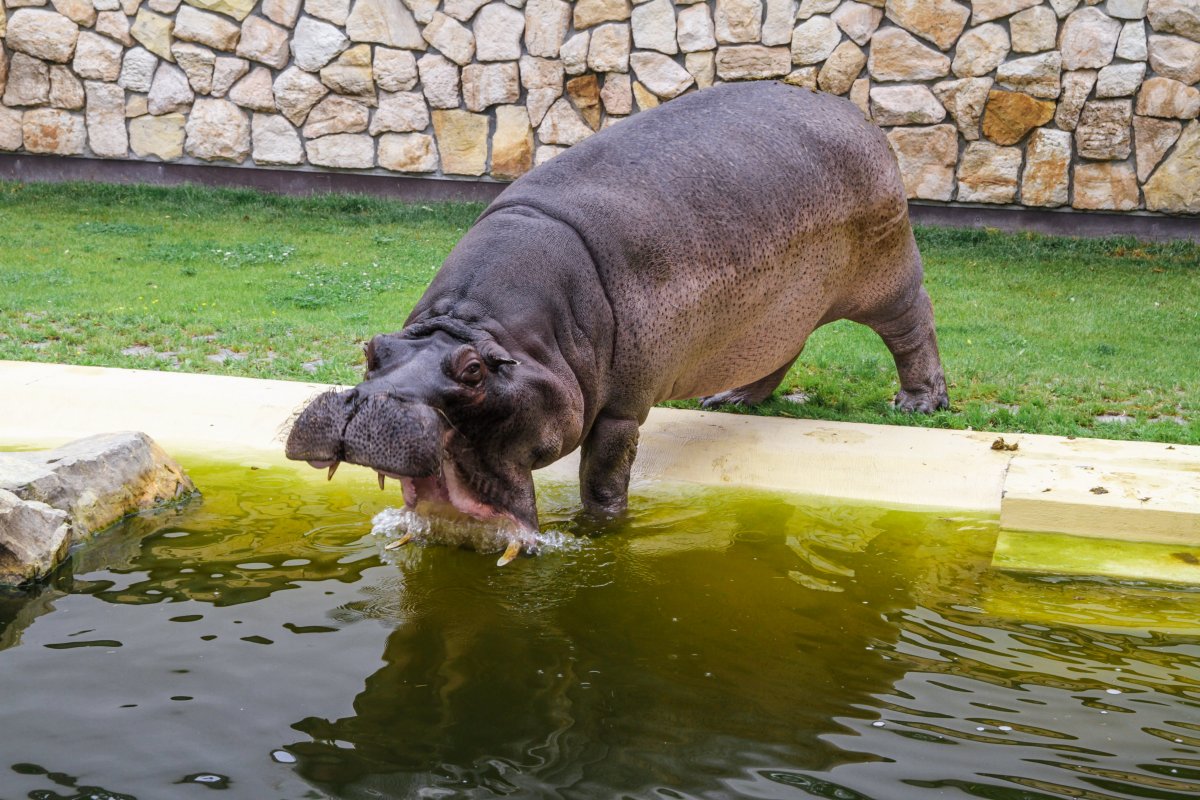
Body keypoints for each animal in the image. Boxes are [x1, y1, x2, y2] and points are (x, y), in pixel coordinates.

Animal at [286, 81, 949, 564]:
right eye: (373, 350)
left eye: (473, 371)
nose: (361, 404)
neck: (485, 326)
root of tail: (853, 112)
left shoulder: (622, 409)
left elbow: (603, 477)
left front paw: (601, 526)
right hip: (777, 312)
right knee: (779, 353)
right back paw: (729, 400)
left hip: (887, 275)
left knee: (914, 326)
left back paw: (920, 403)